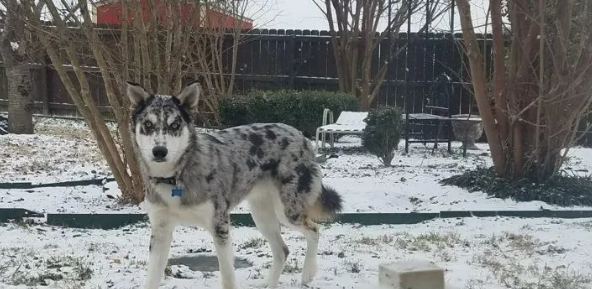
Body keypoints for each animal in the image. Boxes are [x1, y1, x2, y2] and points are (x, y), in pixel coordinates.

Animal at [127, 81, 344, 288]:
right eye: (148, 124)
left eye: (174, 125)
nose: (159, 151)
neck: (175, 177)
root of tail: (300, 135)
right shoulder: (160, 231)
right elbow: (152, 279)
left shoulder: (220, 227)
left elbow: (228, 276)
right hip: (262, 215)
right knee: (282, 251)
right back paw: (269, 284)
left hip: (288, 211)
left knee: (314, 230)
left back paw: (308, 274)